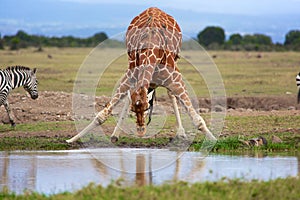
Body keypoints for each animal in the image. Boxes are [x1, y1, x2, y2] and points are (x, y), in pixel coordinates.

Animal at [66, 6, 216, 144]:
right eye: (133, 110)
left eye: (147, 107)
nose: (140, 132)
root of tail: (154, 7)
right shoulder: (130, 76)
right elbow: (102, 115)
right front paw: (71, 140)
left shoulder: (175, 78)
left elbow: (198, 120)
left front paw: (215, 140)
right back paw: (115, 134)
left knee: (170, 94)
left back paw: (181, 134)